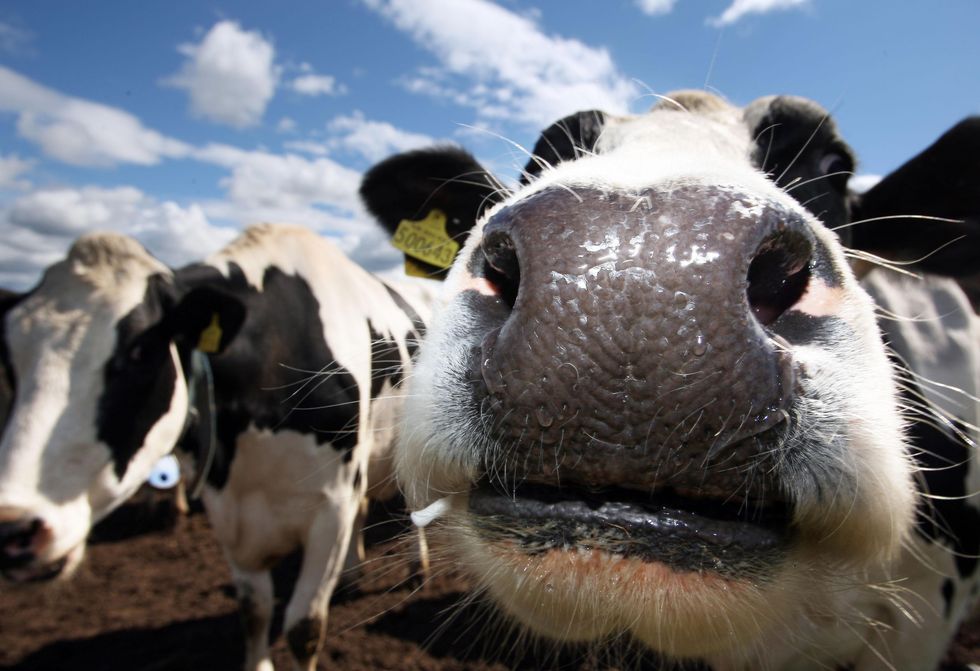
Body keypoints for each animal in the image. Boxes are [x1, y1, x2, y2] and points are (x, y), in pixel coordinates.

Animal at [0, 223, 431, 671]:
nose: (14, 530)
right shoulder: (229, 508)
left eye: (140, 350)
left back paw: (416, 570)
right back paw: (351, 574)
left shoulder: (330, 506)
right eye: (9, 361)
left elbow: (304, 627)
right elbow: (253, 610)